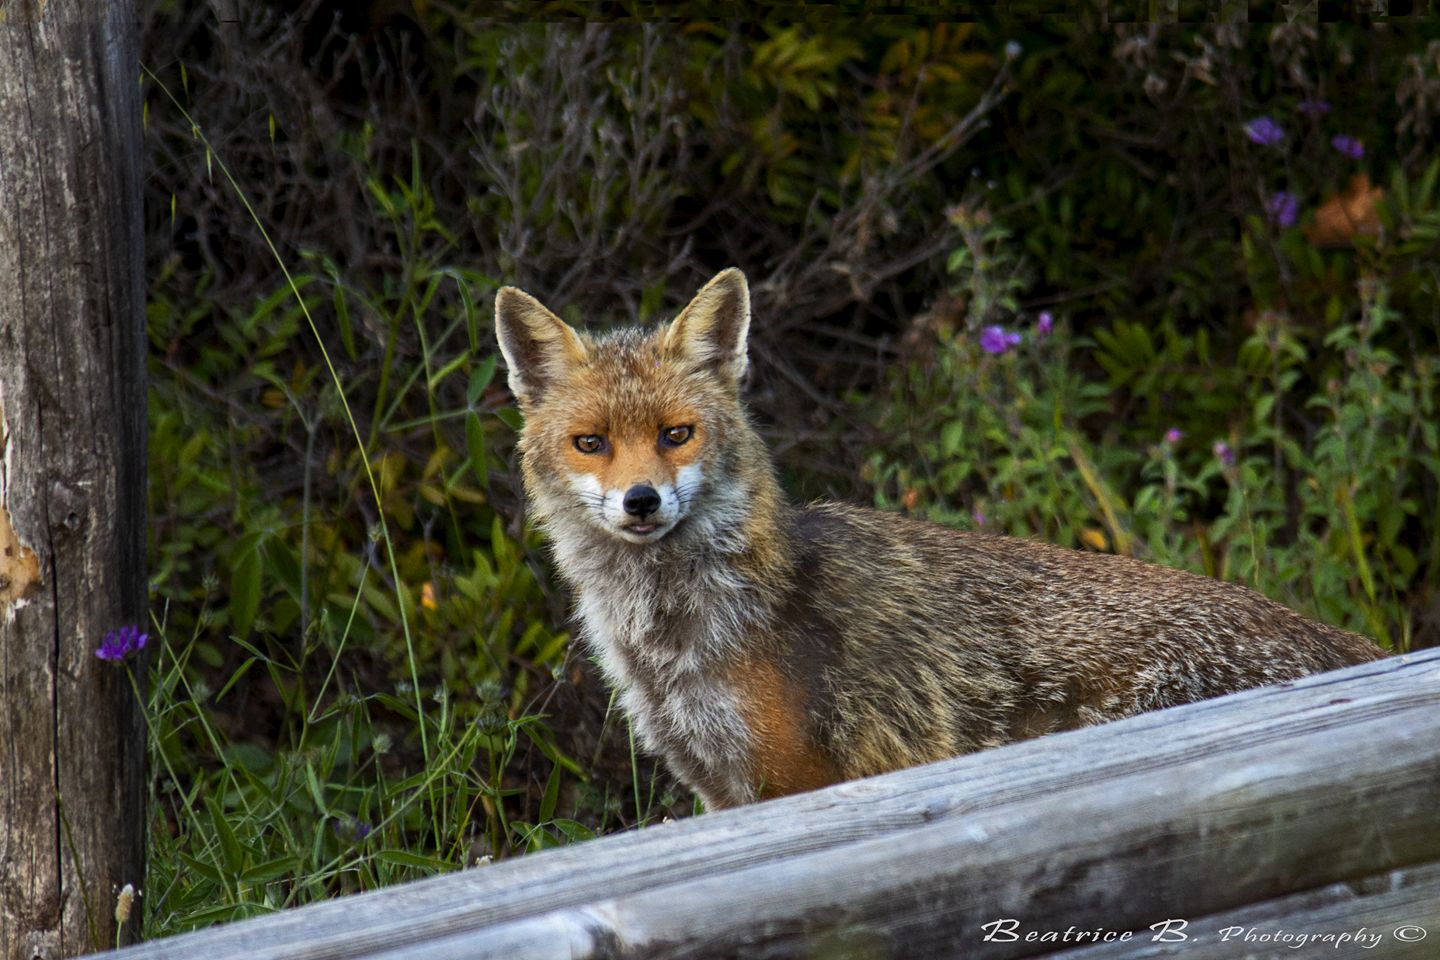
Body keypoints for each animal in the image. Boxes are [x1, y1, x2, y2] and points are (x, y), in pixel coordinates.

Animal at [492, 269, 1382, 811]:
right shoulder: (718, 787)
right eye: (590, 444)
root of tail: (1356, 650)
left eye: (677, 434)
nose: (640, 501)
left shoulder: (794, 780)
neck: (676, 638)